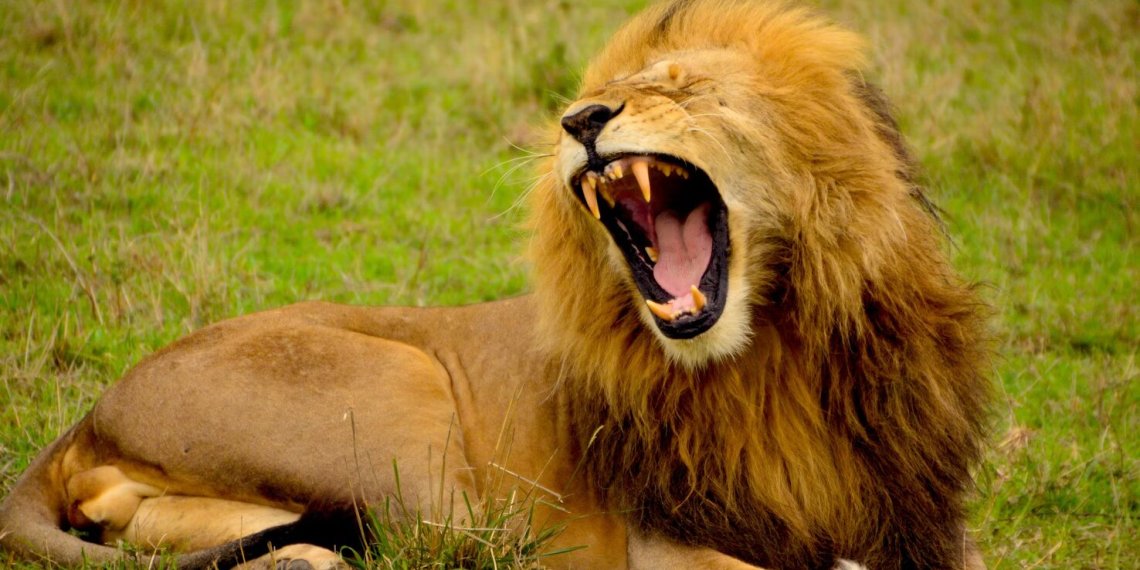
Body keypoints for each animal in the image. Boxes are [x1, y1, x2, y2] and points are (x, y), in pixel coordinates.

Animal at [0, 1, 991, 568]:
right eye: (605, 90)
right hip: (403, 398)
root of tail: (89, 414)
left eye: (683, 87)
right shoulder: (662, 543)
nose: (580, 119)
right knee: (451, 548)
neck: (776, 355)